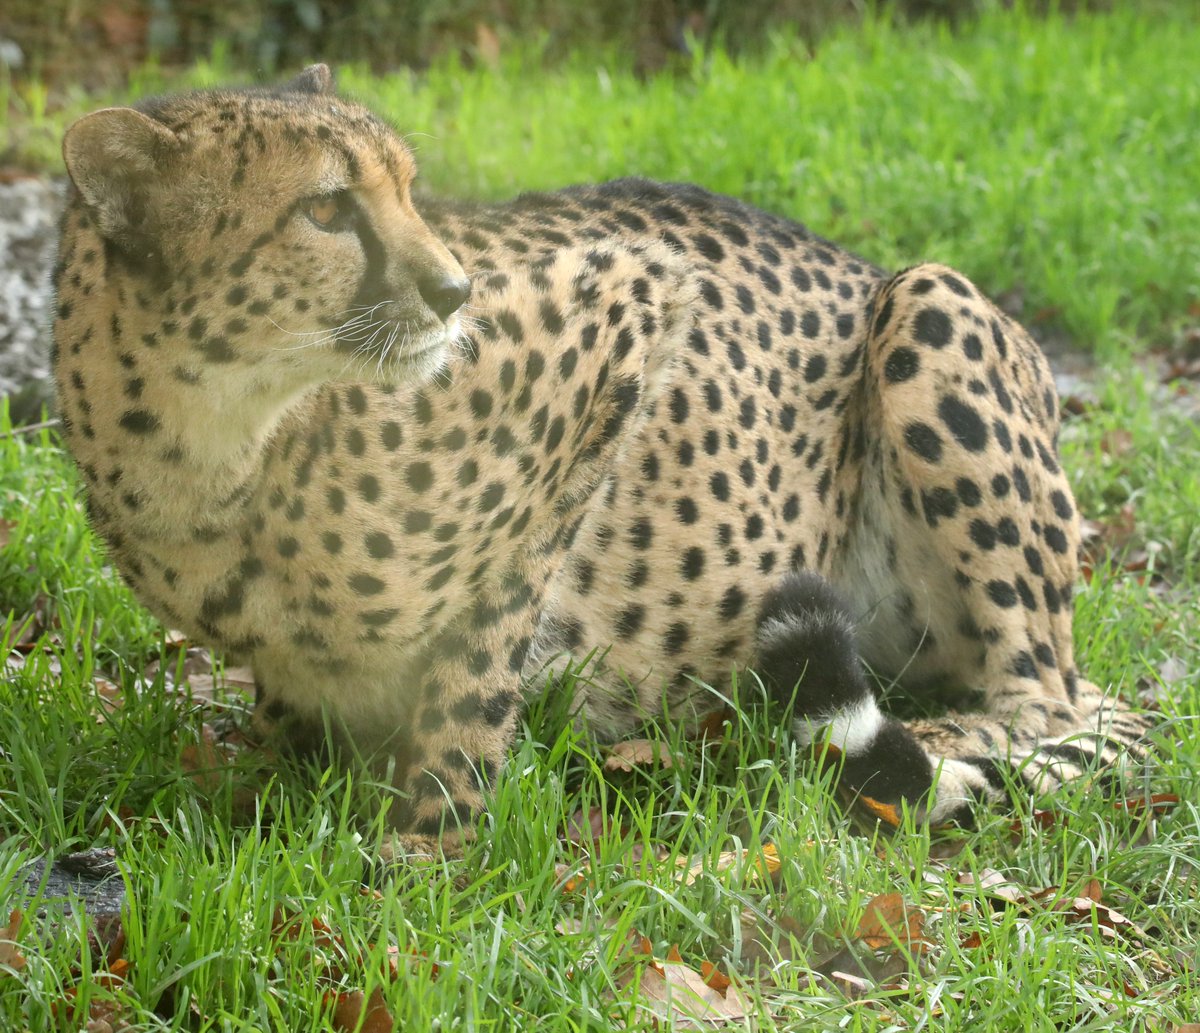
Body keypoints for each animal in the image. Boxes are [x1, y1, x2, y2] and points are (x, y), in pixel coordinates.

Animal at [51, 64, 1150, 859]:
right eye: (325, 210)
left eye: (409, 190)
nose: (455, 291)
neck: (224, 441)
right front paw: (272, 797)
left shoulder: (625, 315)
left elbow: (478, 663)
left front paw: (422, 851)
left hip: (932, 301)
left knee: (1058, 698)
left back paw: (951, 743)